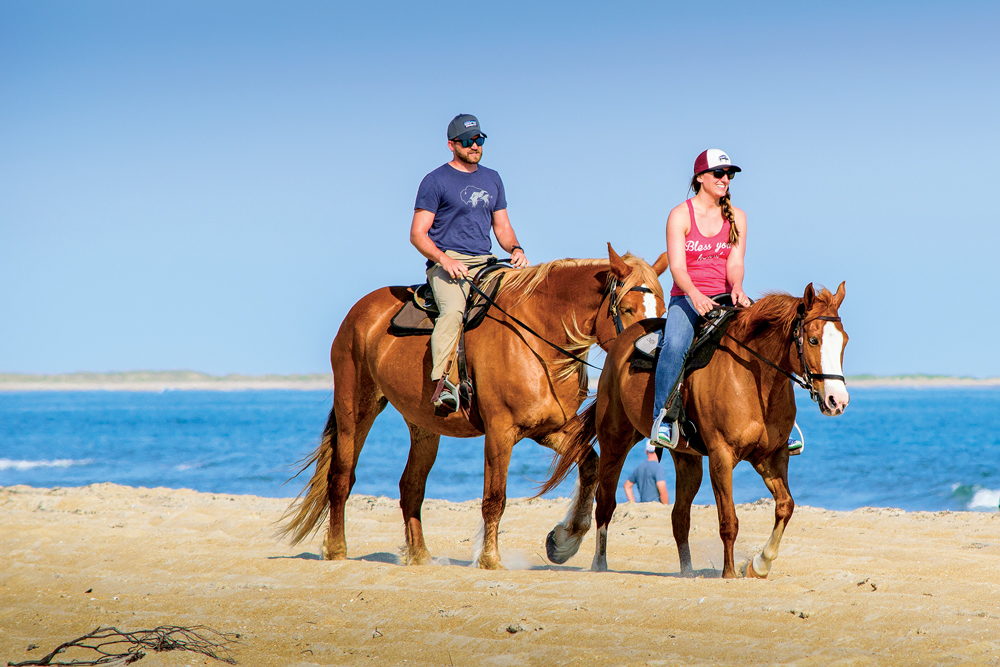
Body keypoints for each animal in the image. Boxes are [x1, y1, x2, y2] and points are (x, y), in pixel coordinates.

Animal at [280, 245, 664, 568]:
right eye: (627, 309)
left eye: (661, 310)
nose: (650, 358)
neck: (538, 338)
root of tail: (360, 311)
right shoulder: (500, 431)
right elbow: (495, 497)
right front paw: (490, 559)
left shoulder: (548, 429)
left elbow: (591, 466)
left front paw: (563, 541)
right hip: (356, 408)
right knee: (341, 476)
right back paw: (336, 549)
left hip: (423, 427)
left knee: (411, 487)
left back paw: (419, 556)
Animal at [544, 282, 848, 580]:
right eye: (813, 340)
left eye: (844, 341)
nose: (838, 401)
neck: (753, 379)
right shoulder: (721, 457)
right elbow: (728, 520)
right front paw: (729, 573)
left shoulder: (772, 457)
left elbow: (786, 506)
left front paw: (759, 564)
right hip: (615, 440)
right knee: (606, 503)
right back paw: (599, 563)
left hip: (686, 459)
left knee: (679, 517)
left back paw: (687, 571)